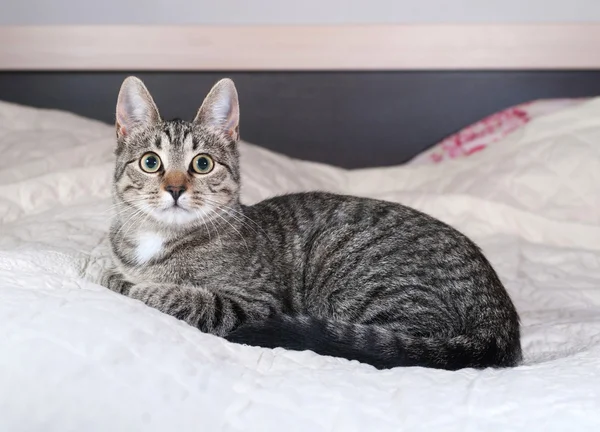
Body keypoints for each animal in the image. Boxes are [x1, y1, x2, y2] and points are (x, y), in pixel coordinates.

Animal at [105, 76, 524, 370]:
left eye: (203, 163)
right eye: (151, 162)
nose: (175, 188)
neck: (157, 239)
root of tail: (499, 317)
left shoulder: (256, 305)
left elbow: (177, 296)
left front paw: (129, 284)